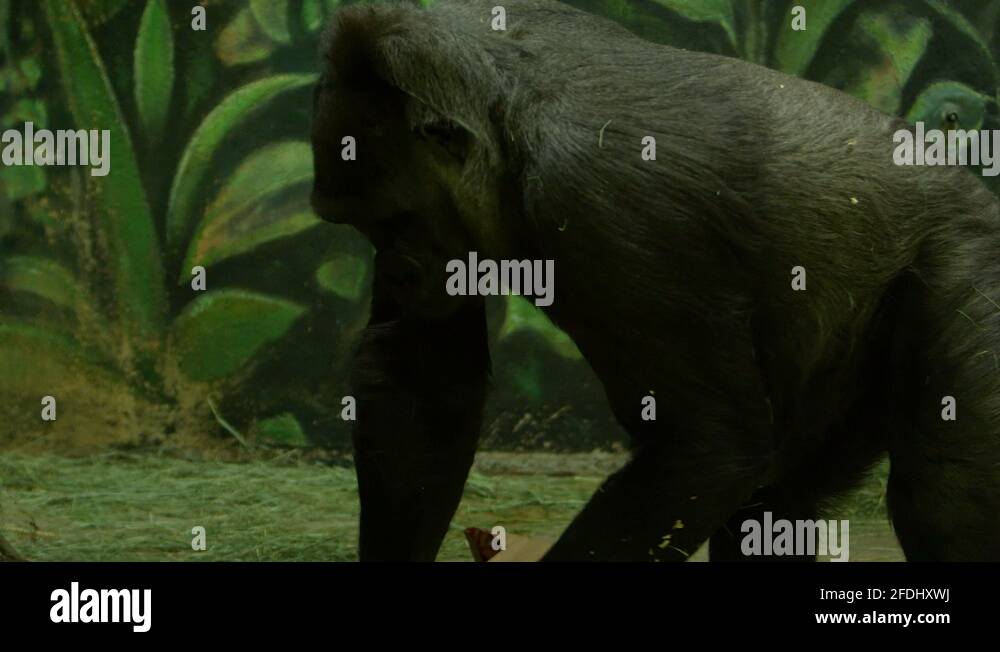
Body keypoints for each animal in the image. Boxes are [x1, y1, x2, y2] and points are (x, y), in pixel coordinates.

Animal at [309, 0, 1000, 561]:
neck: (505, 117)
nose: (397, 272)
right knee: (779, 506)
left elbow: (702, 447)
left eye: (394, 220)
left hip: (975, 260)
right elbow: (421, 380)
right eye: (358, 227)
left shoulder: (601, 196)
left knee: (943, 497)